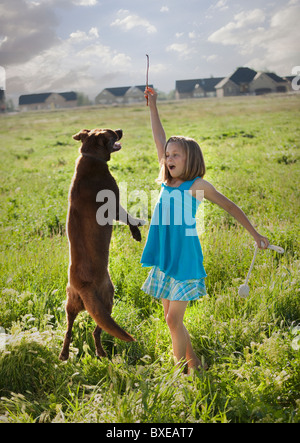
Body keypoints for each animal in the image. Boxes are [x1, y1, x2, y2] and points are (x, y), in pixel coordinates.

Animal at [59, 127, 144, 360]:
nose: (121, 130)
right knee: (97, 331)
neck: (90, 156)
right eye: (112, 133)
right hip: (108, 298)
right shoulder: (114, 206)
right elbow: (128, 218)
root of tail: (84, 287)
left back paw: (64, 354)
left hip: (70, 303)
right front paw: (137, 232)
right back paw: (100, 351)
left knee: (69, 330)